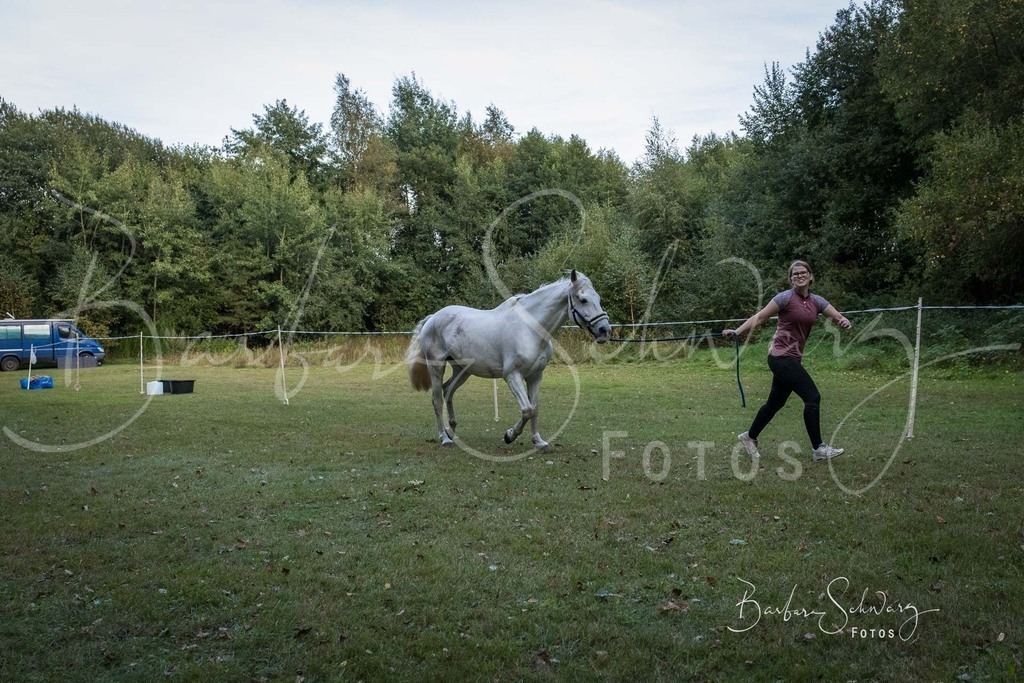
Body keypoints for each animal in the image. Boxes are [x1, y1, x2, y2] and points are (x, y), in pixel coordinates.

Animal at [405, 270, 612, 452]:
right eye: (583, 299)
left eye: (598, 299)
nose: (605, 330)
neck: (529, 329)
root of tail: (433, 318)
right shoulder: (512, 375)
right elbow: (527, 410)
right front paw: (509, 435)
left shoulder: (535, 375)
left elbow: (535, 408)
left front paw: (539, 442)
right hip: (437, 366)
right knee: (437, 400)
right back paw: (444, 438)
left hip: (463, 370)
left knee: (448, 390)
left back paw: (451, 430)